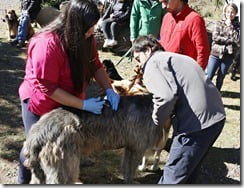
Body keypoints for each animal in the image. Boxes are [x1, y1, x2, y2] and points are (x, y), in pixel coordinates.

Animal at [23, 94, 171, 184]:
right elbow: (131, 168)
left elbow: (126, 165)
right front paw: (131, 181)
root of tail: (36, 135)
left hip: (41, 169)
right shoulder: (137, 148)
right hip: (65, 162)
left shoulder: (130, 146)